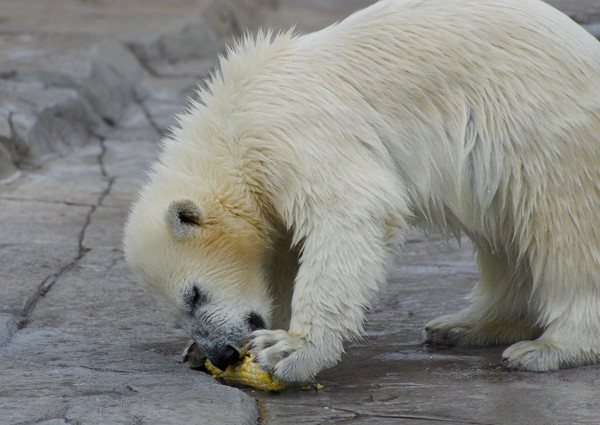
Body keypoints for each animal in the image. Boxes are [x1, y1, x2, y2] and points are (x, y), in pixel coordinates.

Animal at [124, 0, 600, 380]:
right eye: (177, 314)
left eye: (194, 294)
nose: (221, 353)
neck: (228, 124)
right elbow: (282, 253)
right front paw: (196, 350)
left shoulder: (289, 134)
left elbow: (350, 214)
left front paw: (289, 351)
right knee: (504, 238)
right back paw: (466, 325)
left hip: (540, 127)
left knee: (562, 228)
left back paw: (550, 347)